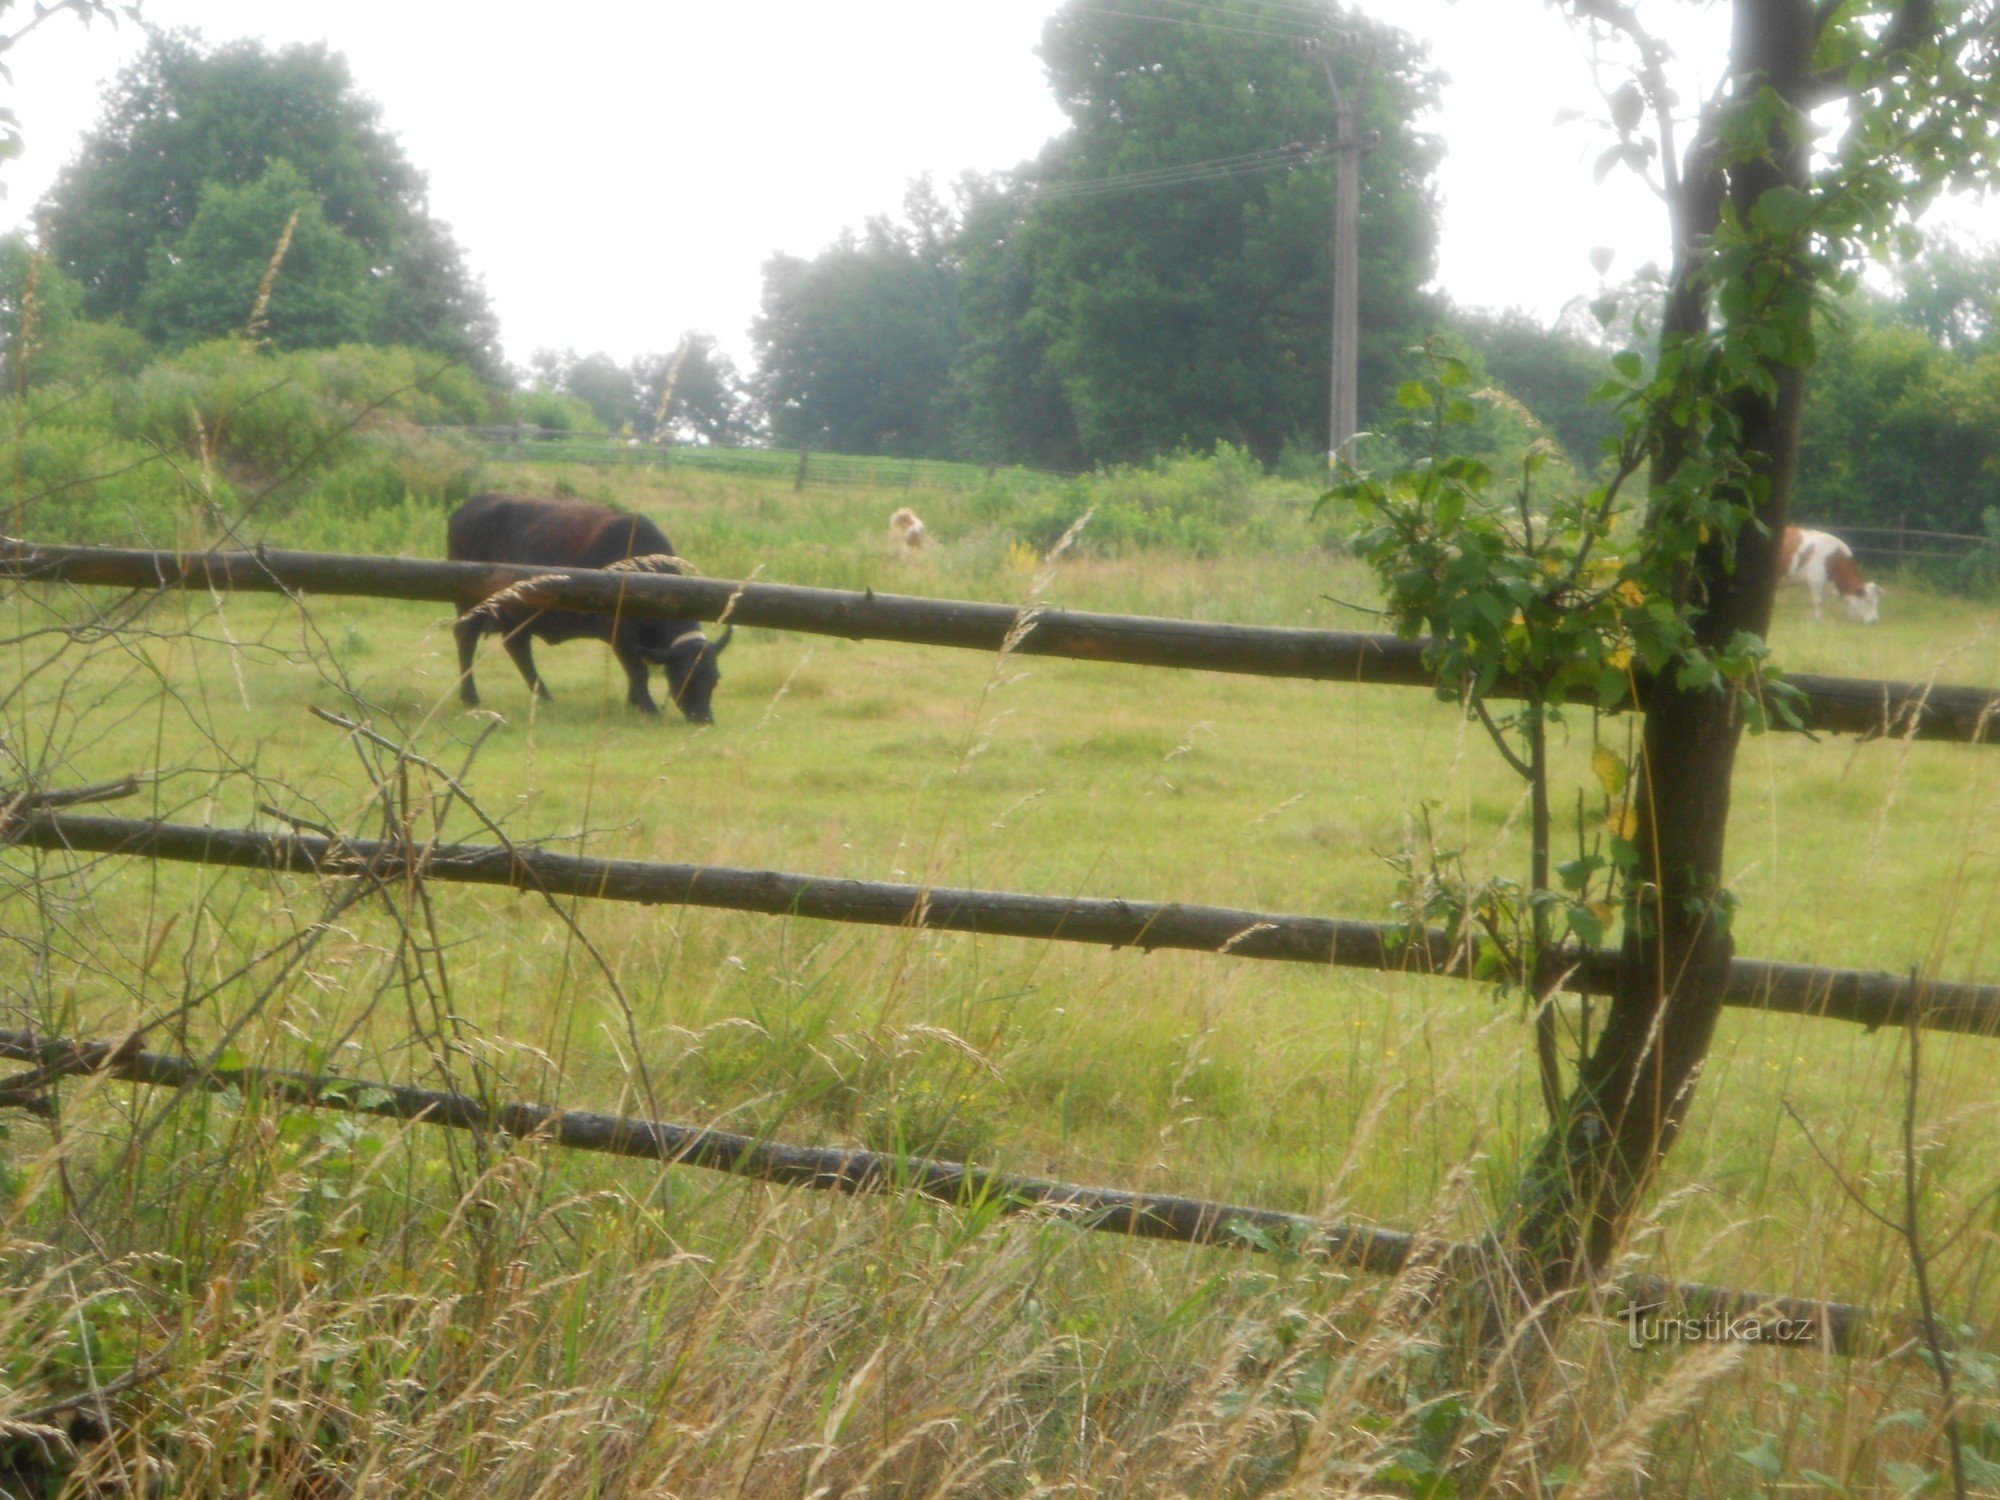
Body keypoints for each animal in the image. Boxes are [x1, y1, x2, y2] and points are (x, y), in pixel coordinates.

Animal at [446, 494, 736, 724]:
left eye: (714, 677)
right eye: (684, 677)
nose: (704, 718)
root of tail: (470, 505)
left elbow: (635, 672)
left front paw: (633, 702)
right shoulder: (620, 634)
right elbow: (638, 671)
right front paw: (647, 706)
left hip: (516, 614)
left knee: (518, 647)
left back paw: (544, 694)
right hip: (470, 605)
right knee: (466, 639)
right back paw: (470, 696)